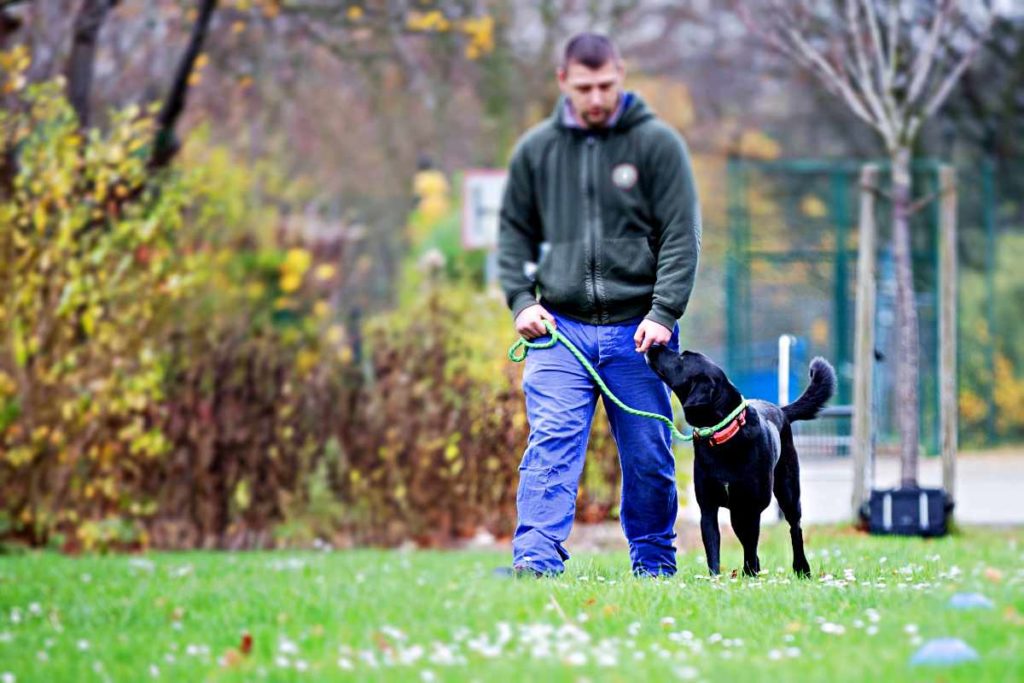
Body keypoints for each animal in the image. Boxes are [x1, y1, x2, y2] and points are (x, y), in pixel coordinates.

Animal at [647, 348, 831, 577]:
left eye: (682, 358)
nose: (652, 346)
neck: (722, 435)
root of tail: (781, 410)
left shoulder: (751, 508)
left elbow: (751, 546)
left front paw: (750, 574)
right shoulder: (708, 508)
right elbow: (713, 547)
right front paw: (716, 578)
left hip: (788, 493)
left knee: (794, 528)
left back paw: (801, 568)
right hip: (737, 512)